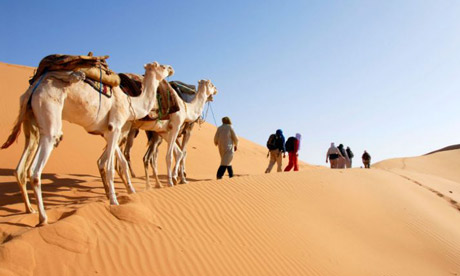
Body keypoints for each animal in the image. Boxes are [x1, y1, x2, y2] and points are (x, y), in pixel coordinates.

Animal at [1, 61, 174, 224]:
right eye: (160, 66)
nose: (171, 68)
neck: (129, 101)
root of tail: (34, 88)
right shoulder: (116, 125)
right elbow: (109, 167)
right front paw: (114, 201)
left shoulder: (108, 131)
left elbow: (116, 162)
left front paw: (126, 192)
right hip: (49, 114)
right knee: (35, 170)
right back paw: (43, 218)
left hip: (30, 122)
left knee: (20, 168)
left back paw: (30, 209)